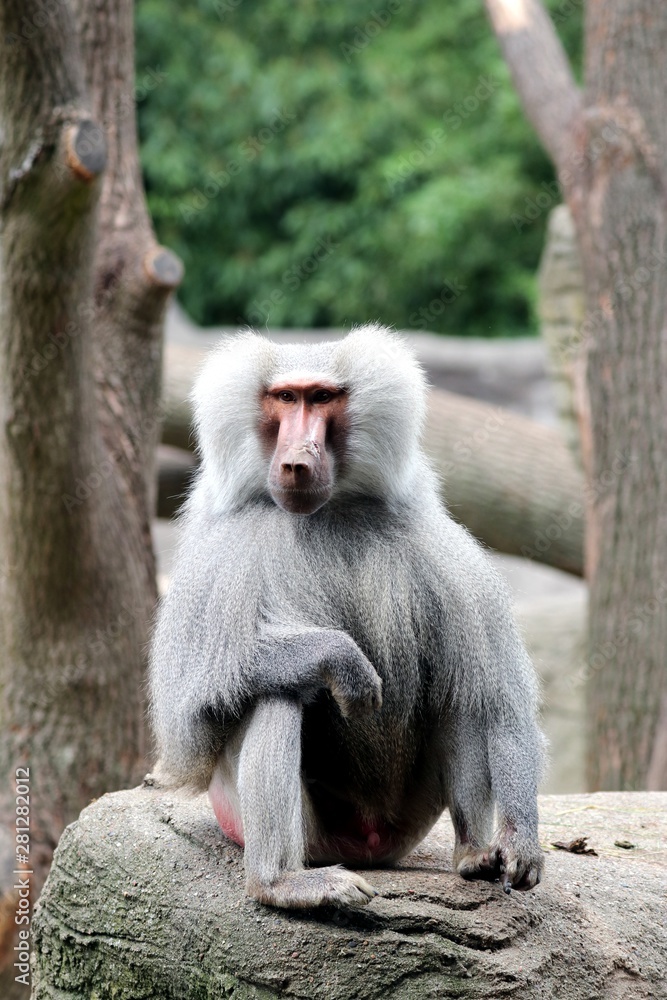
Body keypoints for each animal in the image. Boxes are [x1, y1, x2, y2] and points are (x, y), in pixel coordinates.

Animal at [149, 324, 545, 909]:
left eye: (321, 397)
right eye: (284, 397)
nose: (296, 461)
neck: (327, 512)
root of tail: (364, 848)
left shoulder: (442, 548)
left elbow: (500, 702)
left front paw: (520, 842)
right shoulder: (222, 551)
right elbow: (189, 708)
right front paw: (343, 659)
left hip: (406, 826)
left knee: (463, 695)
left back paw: (473, 856)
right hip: (284, 828)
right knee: (276, 692)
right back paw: (283, 883)